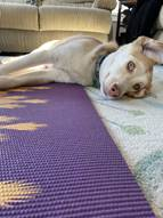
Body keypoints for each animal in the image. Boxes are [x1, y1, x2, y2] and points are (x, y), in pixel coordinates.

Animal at [0, 35, 162, 99]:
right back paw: (6, 60)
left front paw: (3, 82)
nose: (115, 92)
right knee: (17, 60)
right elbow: (12, 67)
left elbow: (16, 80)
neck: (90, 67)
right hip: (41, 51)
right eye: (131, 65)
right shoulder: (49, 55)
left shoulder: (52, 74)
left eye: (136, 87)